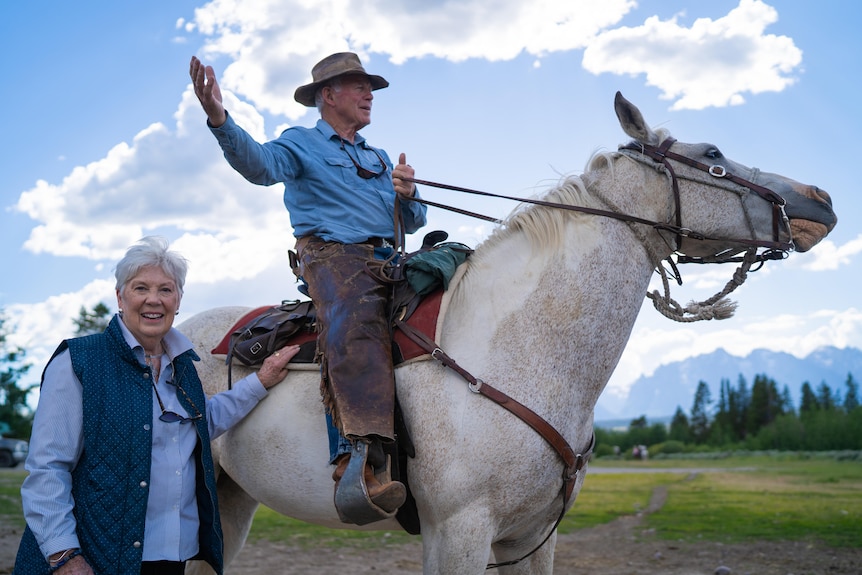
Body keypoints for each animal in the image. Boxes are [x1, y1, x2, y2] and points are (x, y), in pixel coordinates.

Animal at [182, 92, 836, 572]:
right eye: (714, 150)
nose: (821, 198)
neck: (516, 349)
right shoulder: (459, 532)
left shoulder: (532, 535)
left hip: (230, 503)